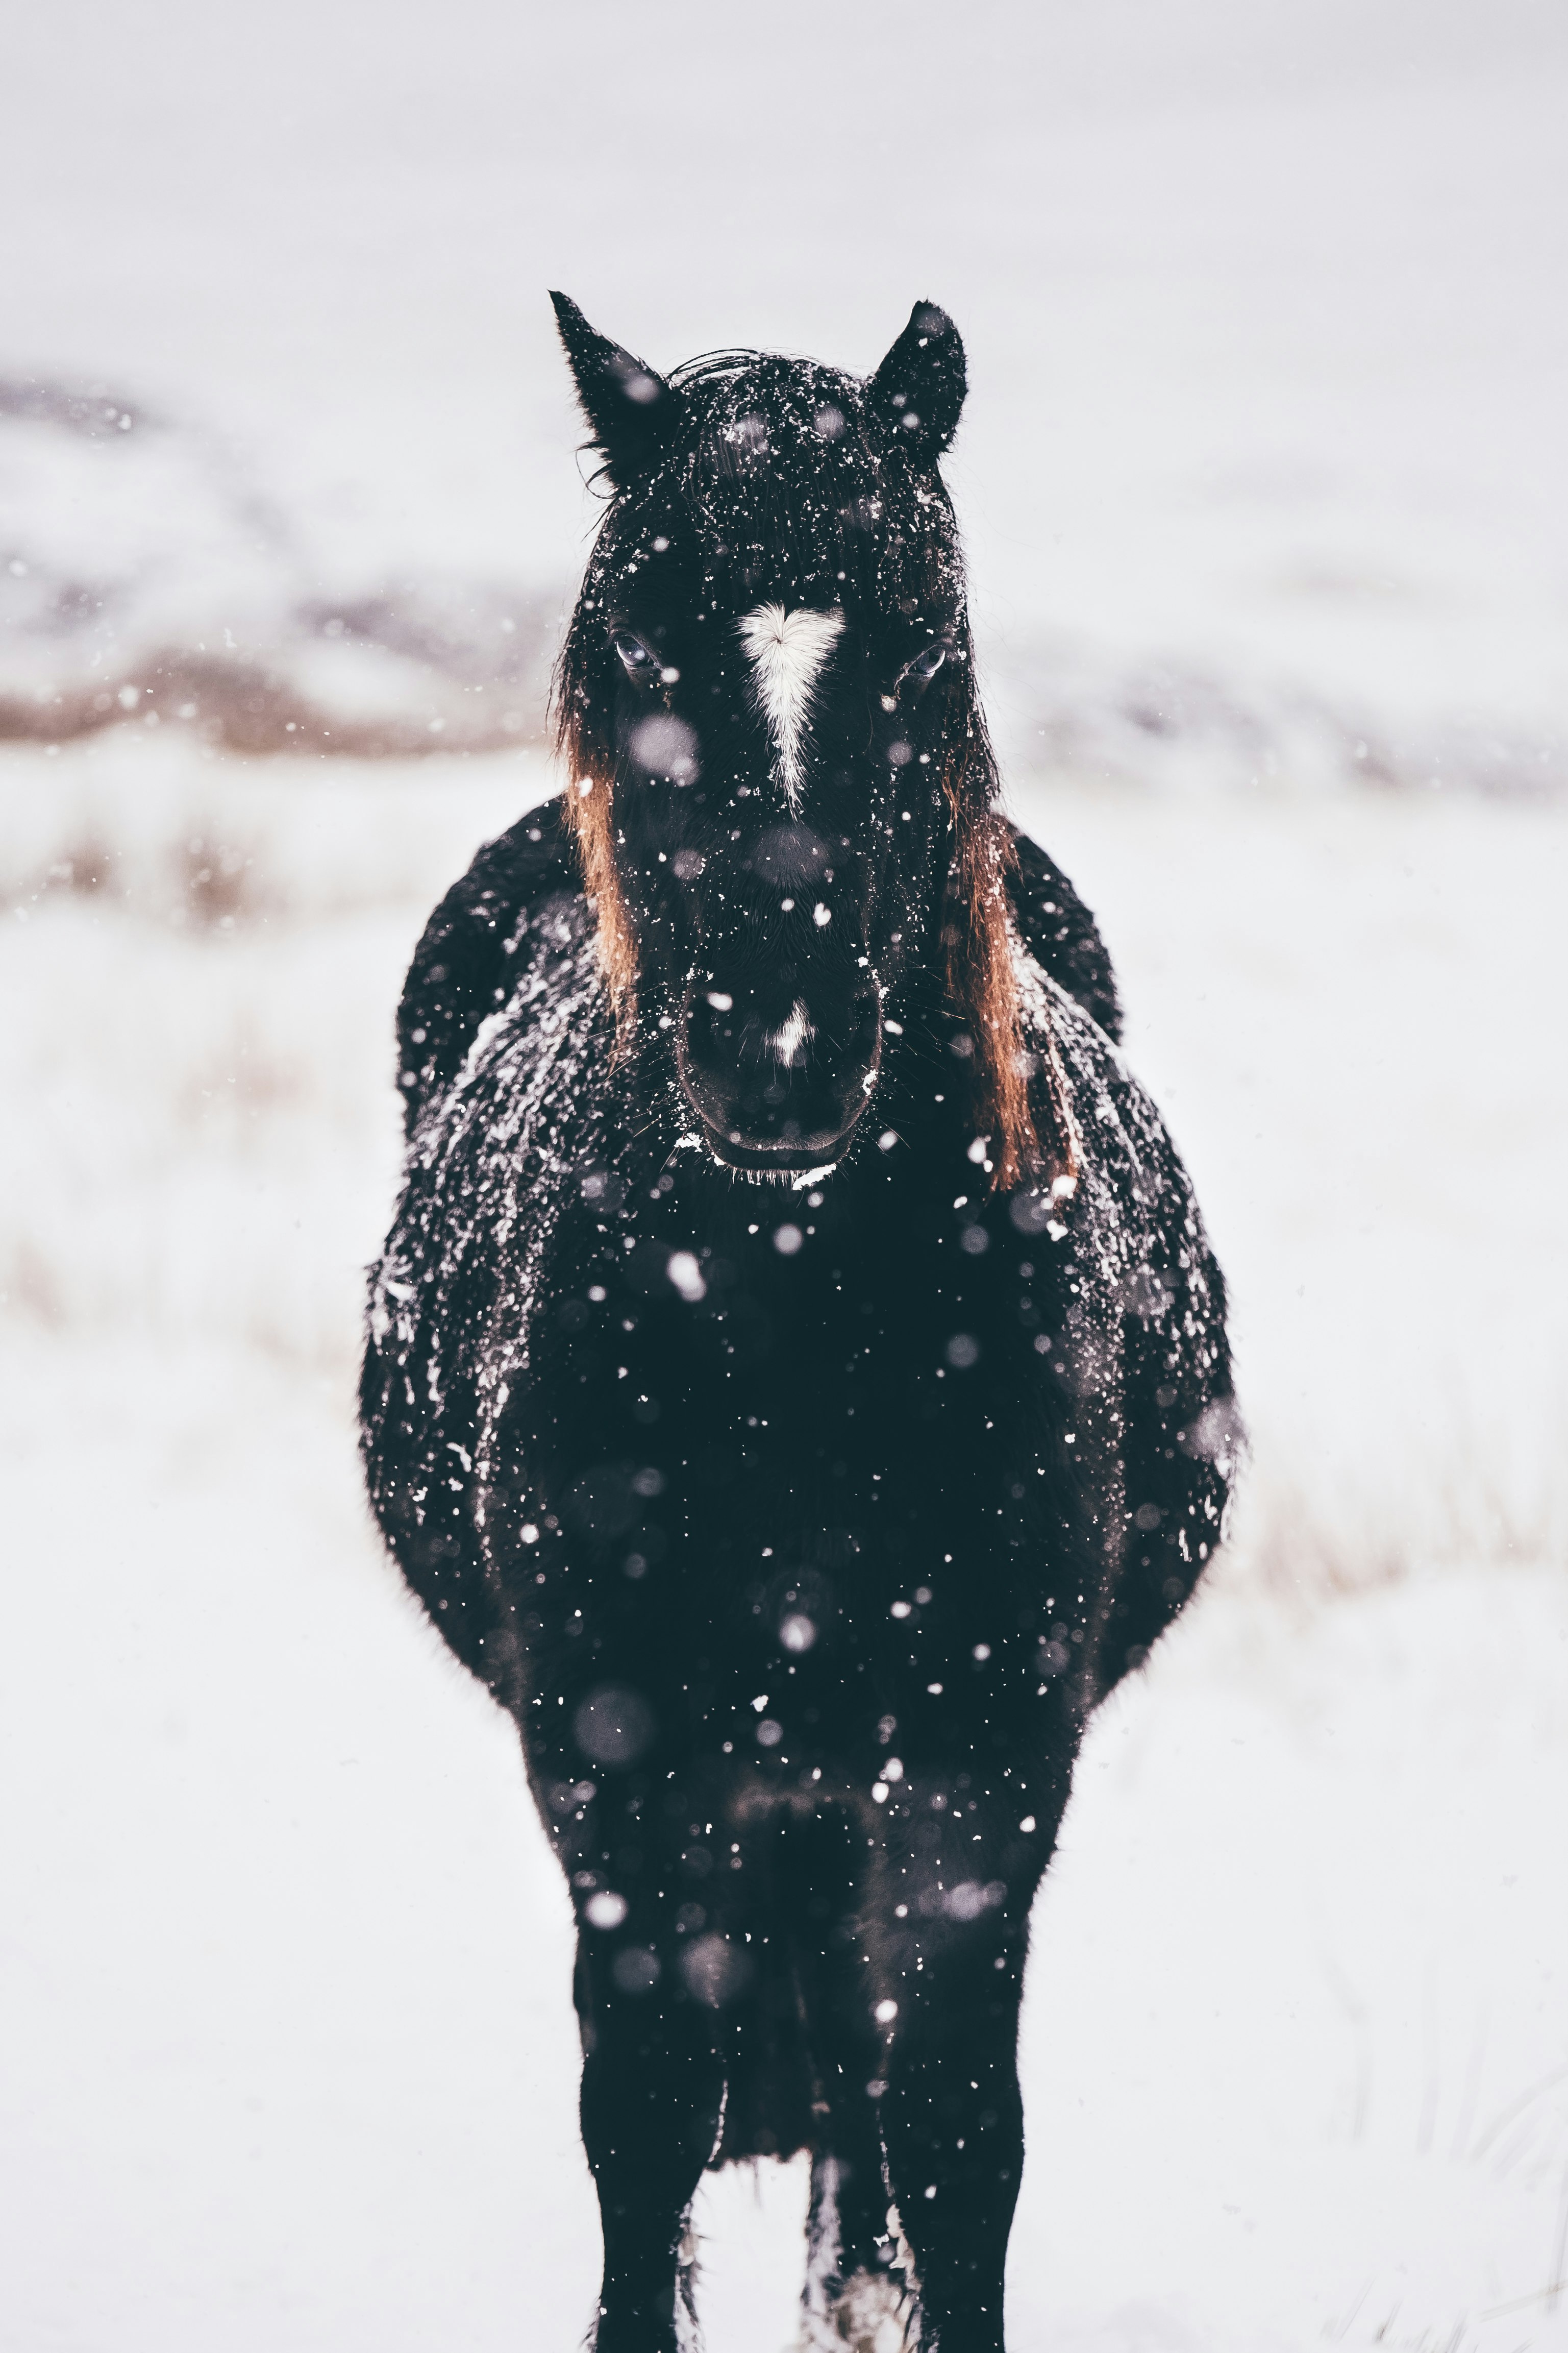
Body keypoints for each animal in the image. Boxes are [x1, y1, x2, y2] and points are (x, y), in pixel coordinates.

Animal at [359, 299, 1241, 2353]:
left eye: (916, 637)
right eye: (634, 638)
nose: (777, 1052)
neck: (797, 1325)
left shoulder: (983, 1767)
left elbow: (958, 2123)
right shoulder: (615, 1771)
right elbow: (644, 2116)